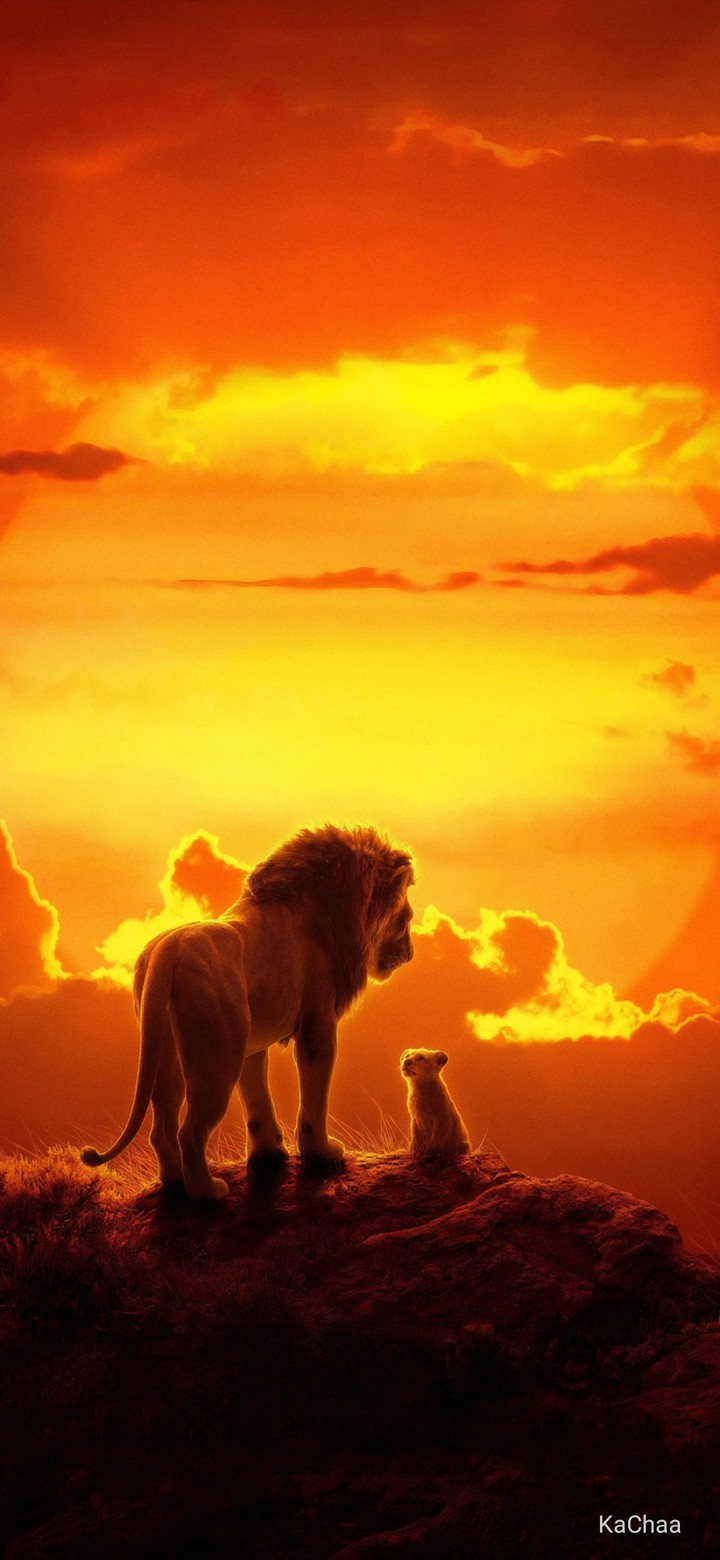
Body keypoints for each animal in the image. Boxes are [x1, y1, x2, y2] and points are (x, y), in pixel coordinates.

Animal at [82, 824, 414, 1200]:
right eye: (406, 919)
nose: (410, 953)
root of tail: (167, 952)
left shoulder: (251, 1042)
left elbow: (256, 1099)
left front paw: (269, 1154)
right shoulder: (318, 1024)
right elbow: (314, 1097)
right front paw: (322, 1154)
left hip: (168, 1051)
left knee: (162, 1128)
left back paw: (175, 1184)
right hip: (216, 1058)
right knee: (190, 1132)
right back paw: (208, 1193)